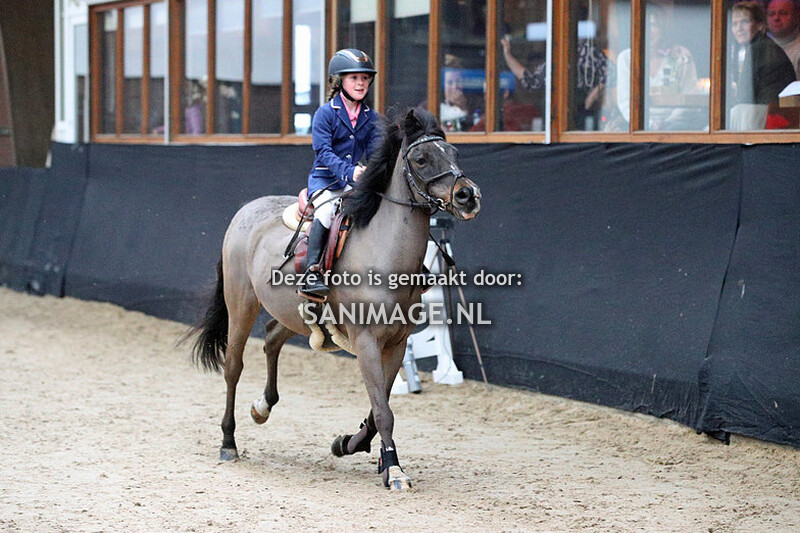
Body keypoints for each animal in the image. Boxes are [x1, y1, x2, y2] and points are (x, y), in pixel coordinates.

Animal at [189, 107, 481, 490]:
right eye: (421, 159)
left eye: (455, 153)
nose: (468, 195)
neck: (384, 251)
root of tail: (246, 211)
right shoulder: (368, 341)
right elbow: (383, 412)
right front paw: (395, 470)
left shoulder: (396, 343)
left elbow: (377, 409)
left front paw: (350, 445)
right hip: (241, 306)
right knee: (233, 368)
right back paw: (228, 442)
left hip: (294, 314)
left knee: (271, 338)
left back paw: (262, 406)